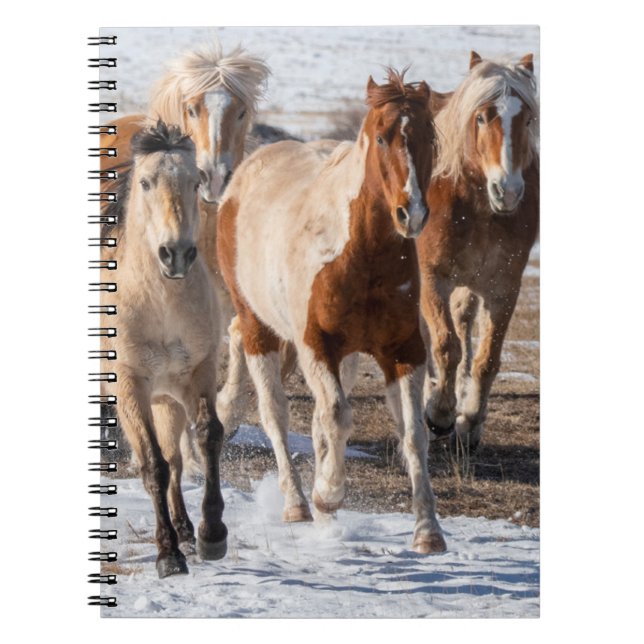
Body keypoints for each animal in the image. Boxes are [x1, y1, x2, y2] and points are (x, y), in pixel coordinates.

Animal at [101, 121, 228, 578]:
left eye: (195, 181)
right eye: (146, 182)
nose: (176, 255)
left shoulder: (196, 375)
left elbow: (207, 437)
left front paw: (211, 535)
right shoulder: (129, 386)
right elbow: (152, 464)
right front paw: (167, 555)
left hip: (166, 399)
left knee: (175, 458)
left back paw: (187, 529)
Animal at [217, 69, 446, 554]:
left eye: (428, 137)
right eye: (381, 137)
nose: (412, 213)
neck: (362, 254)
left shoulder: (403, 351)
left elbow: (412, 434)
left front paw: (428, 531)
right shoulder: (316, 345)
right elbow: (338, 417)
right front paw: (328, 494)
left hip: (346, 355)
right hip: (259, 328)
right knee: (274, 410)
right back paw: (297, 503)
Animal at [418, 51, 539, 452]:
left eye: (528, 118)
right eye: (482, 117)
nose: (509, 191)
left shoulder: (504, 286)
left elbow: (486, 357)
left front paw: (470, 420)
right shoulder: (432, 278)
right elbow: (445, 345)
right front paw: (439, 414)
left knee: (464, 327)